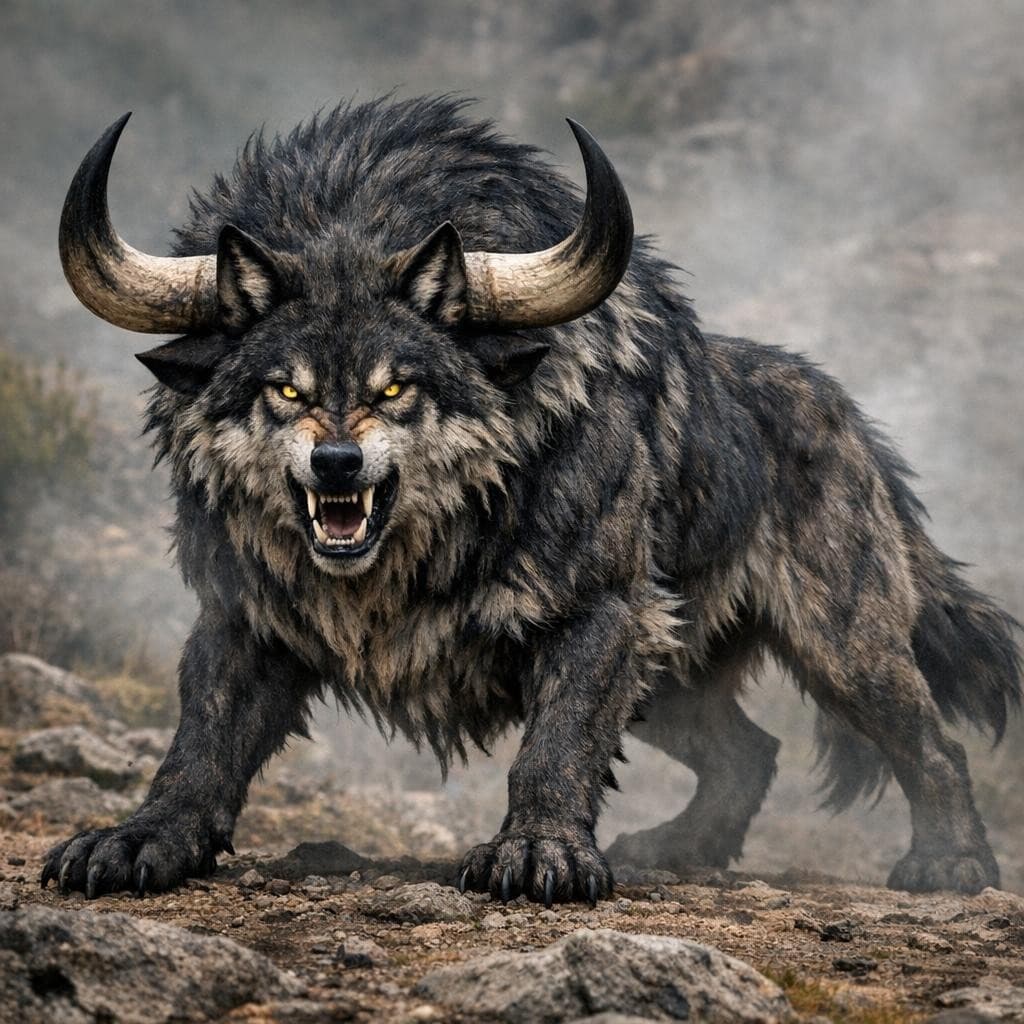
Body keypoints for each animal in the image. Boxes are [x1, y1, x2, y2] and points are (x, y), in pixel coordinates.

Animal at [44, 97, 1019, 903]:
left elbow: (555, 747)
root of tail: (847, 411)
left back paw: (951, 863)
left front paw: (540, 854)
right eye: (285, 389)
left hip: (841, 649)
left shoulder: (602, 614)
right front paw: (139, 840)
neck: (411, 561)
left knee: (932, 744)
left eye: (397, 387)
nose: (337, 465)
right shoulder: (243, 615)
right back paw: (675, 849)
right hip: (675, 684)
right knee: (752, 753)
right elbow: (197, 746)